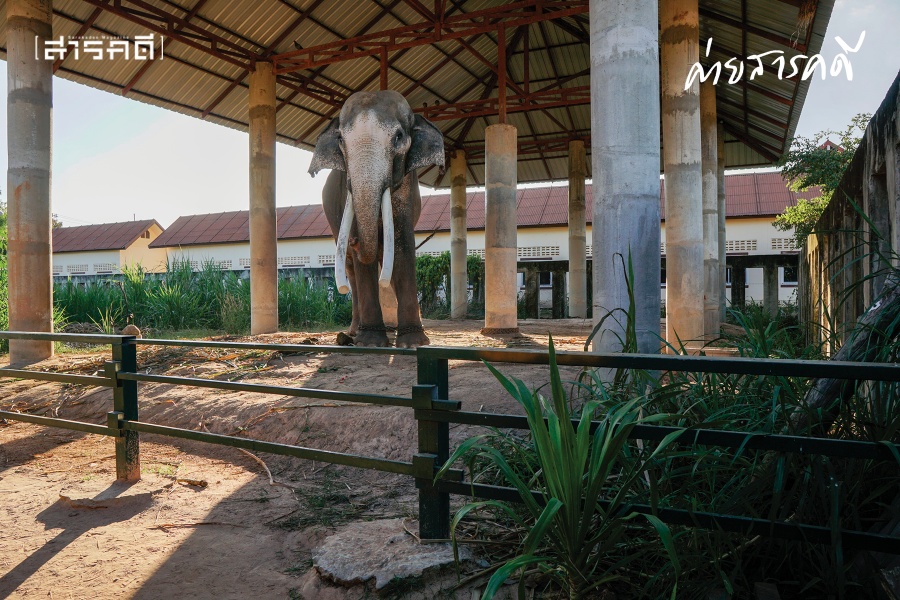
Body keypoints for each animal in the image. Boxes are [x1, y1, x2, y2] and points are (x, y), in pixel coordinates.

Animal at [309, 90, 445, 348]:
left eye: (398, 137)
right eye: (341, 140)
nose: (353, 241)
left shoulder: (406, 188)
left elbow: (403, 247)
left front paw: (413, 342)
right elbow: (364, 265)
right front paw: (371, 342)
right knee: (352, 272)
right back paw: (352, 333)